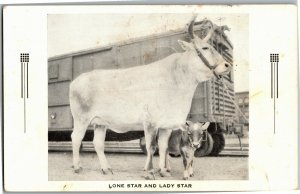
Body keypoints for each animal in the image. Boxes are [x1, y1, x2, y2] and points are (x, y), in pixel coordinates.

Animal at [69, 16, 232, 179]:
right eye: (205, 48)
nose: (227, 65)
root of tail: (76, 81)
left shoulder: (167, 124)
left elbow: (163, 146)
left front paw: (163, 171)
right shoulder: (150, 122)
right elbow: (151, 147)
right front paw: (149, 172)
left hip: (100, 122)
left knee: (98, 143)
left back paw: (106, 168)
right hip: (81, 118)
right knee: (76, 137)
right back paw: (77, 167)